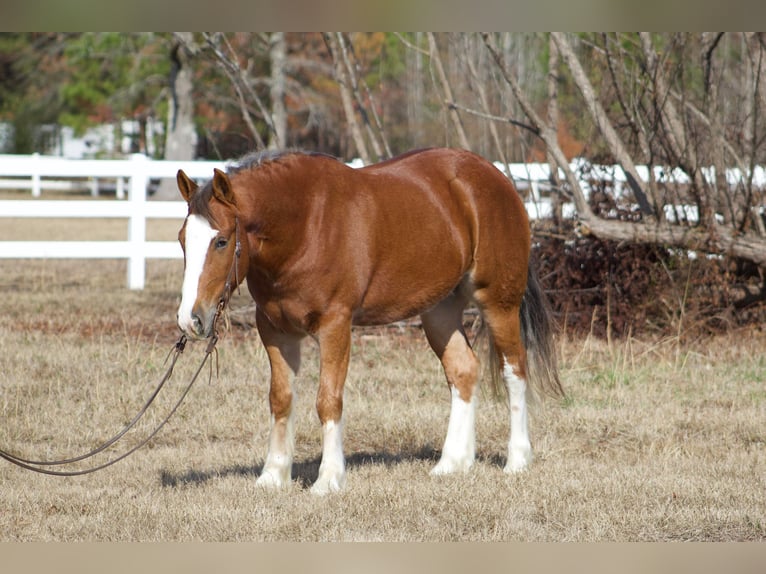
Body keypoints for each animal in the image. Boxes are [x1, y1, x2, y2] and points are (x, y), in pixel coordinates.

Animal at [178, 148, 564, 496]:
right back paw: (452, 463)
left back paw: (517, 461)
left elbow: (328, 400)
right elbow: (280, 398)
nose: (189, 319)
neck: (304, 224)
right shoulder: (274, 329)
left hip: (498, 302)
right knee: (463, 370)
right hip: (439, 310)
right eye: (182, 240)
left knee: (514, 370)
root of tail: (497, 179)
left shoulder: (335, 325)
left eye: (221, 241)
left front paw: (329, 480)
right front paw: (272, 477)